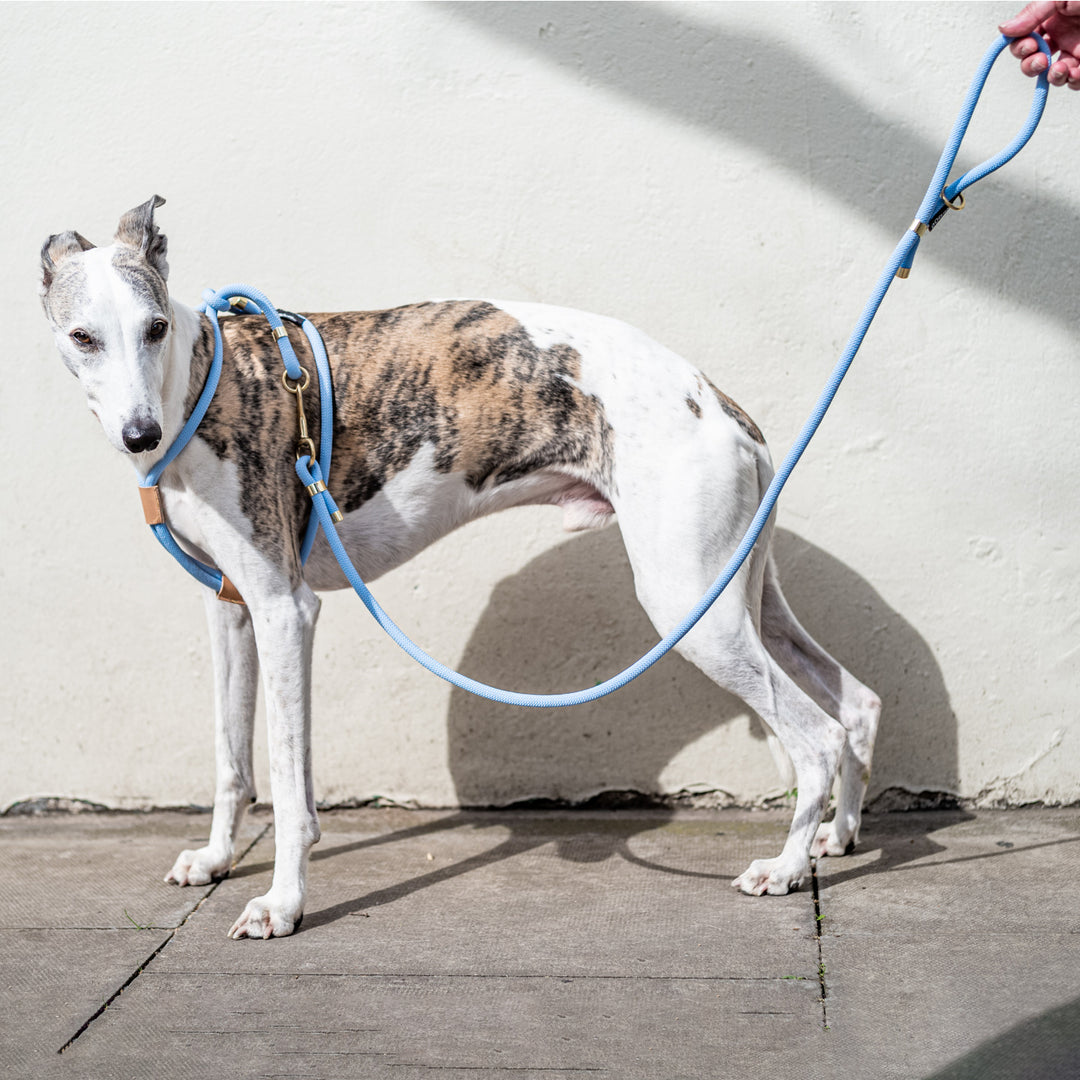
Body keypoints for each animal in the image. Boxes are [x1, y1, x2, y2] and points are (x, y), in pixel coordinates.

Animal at [39, 198, 876, 941]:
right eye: (83, 337)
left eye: (153, 328)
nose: (140, 435)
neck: (202, 380)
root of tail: (724, 407)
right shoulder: (232, 606)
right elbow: (231, 757)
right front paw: (215, 860)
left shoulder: (285, 609)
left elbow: (288, 783)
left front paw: (281, 905)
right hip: (740, 593)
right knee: (858, 702)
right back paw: (835, 839)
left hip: (690, 606)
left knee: (817, 737)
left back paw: (784, 869)